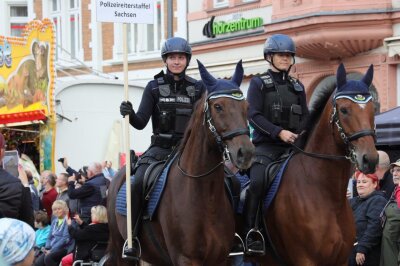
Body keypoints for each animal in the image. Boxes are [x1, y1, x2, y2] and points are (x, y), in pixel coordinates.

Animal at [108, 60, 255, 266]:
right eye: (218, 106)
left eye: (246, 106)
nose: (246, 153)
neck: (203, 194)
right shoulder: (186, 259)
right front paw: (126, 109)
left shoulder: (221, 258)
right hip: (120, 248)